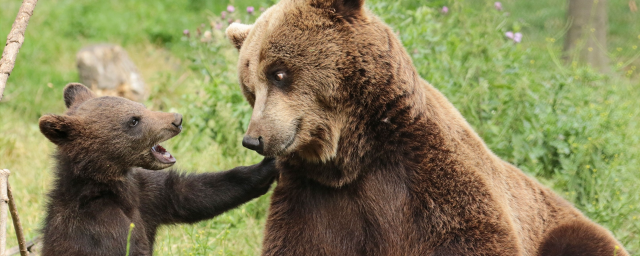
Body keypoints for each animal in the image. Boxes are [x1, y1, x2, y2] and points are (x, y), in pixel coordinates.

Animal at [226, 0, 632, 254]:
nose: (254, 138)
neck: (354, 157)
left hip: (568, 227)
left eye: (279, 73)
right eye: (250, 88)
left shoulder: (429, 177)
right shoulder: (317, 201)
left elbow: (472, 236)